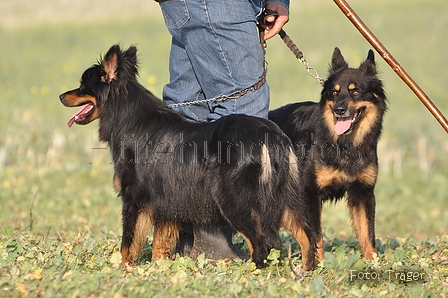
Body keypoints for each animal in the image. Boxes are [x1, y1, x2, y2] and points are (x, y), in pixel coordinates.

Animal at [60, 44, 318, 270]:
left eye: (83, 85)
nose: (61, 95)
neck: (130, 118)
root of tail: (269, 135)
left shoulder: (134, 200)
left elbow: (128, 244)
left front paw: (123, 271)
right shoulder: (165, 202)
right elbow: (160, 244)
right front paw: (157, 270)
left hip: (236, 201)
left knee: (261, 242)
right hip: (285, 197)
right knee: (307, 235)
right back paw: (306, 271)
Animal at [268, 47, 386, 260]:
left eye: (356, 91)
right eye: (334, 92)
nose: (339, 110)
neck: (345, 145)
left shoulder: (363, 192)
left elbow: (368, 234)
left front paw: (373, 263)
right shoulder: (310, 194)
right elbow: (316, 236)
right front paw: (319, 264)